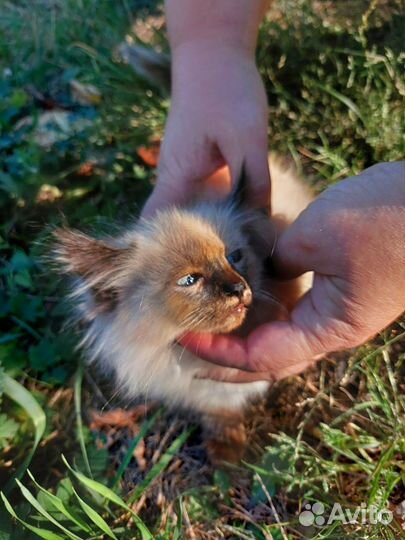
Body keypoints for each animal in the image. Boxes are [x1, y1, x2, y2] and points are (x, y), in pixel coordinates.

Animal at [54, 157, 312, 464]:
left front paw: (228, 456)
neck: (187, 361)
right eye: (189, 280)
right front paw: (225, 452)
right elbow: (220, 416)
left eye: (234, 257)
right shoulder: (209, 394)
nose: (238, 288)